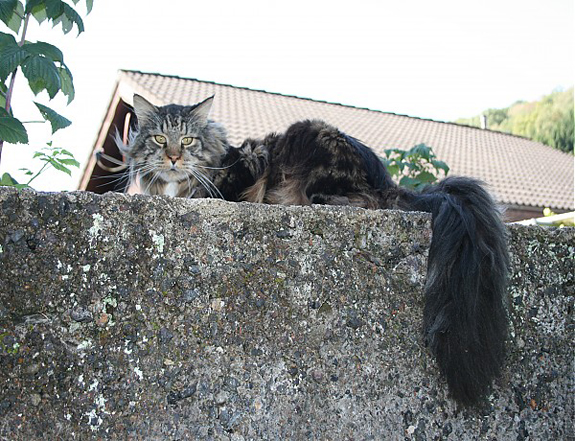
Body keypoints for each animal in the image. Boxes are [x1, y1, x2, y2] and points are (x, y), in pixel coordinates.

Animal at [117, 93, 508, 406]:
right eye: (159, 139)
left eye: (187, 141)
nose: (172, 158)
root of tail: (389, 181)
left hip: (311, 145)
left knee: (360, 201)